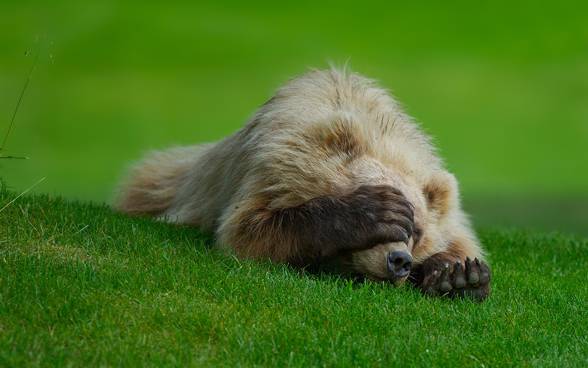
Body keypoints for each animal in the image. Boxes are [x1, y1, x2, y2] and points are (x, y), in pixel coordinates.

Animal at [115, 67, 492, 300]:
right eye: (400, 218)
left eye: (416, 230)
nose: (398, 261)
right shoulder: (271, 168)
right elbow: (248, 230)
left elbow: (459, 241)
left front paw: (459, 275)